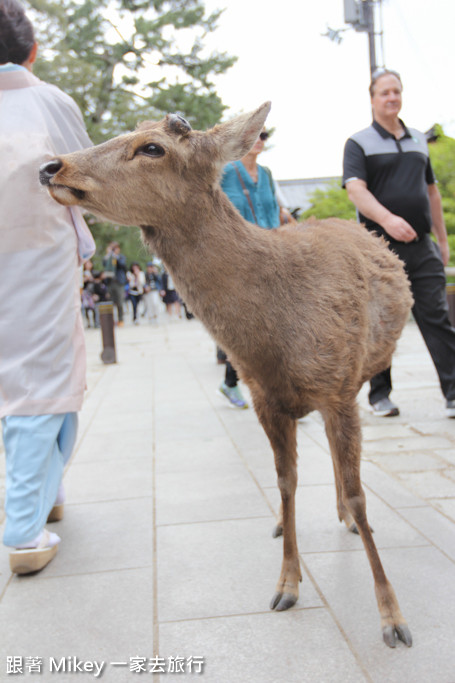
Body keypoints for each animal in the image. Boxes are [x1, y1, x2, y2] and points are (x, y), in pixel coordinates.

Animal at [41, 100, 416, 648]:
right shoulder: (265, 399)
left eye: (152, 147)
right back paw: (291, 525)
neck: (273, 343)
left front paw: (393, 619)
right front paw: (286, 585)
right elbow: (285, 482)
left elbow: (358, 494)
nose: (51, 165)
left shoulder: (339, 388)